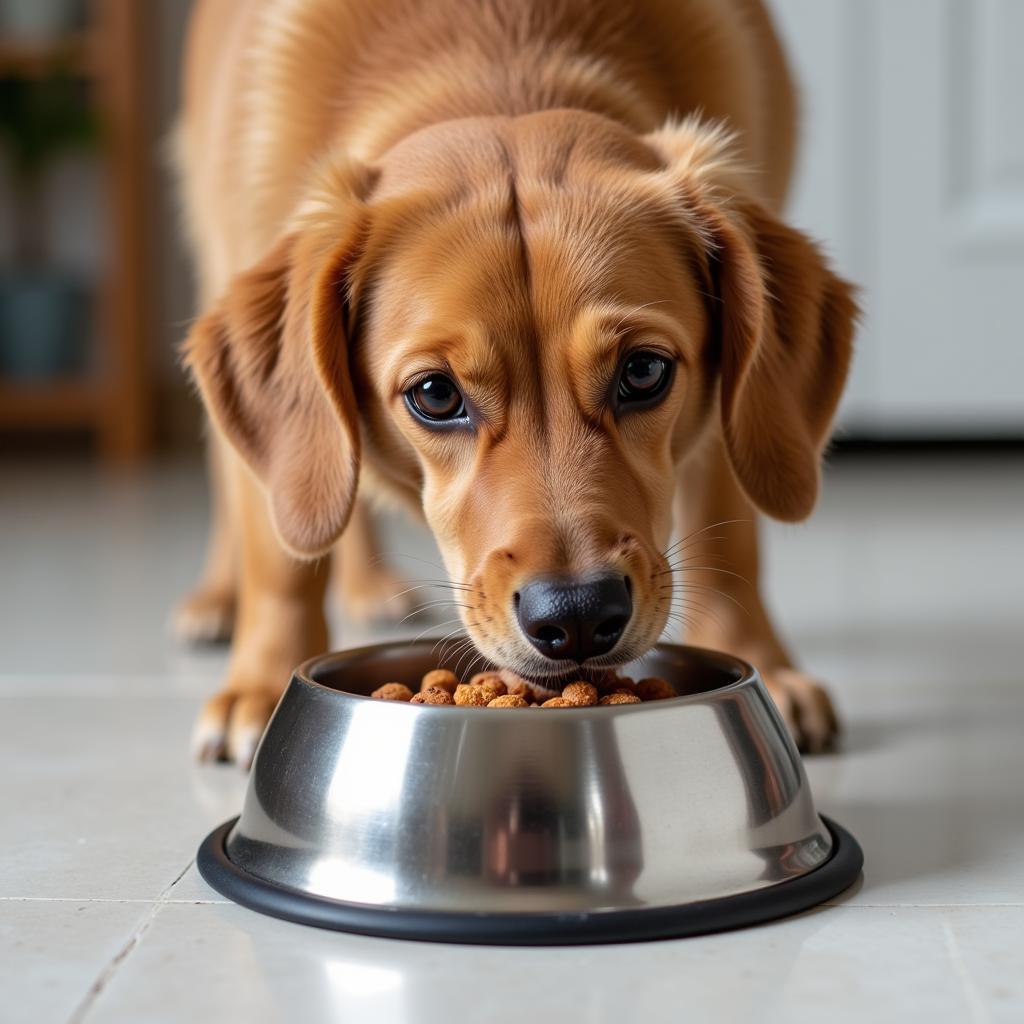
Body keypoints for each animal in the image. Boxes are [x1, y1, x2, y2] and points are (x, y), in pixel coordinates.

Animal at [174, 0, 856, 765]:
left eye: (643, 370)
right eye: (435, 395)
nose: (579, 615)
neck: (500, 60)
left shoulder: (731, 406)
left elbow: (728, 538)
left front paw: (761, 662)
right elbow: (282, 555)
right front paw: (262, 685)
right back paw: (217, 600)